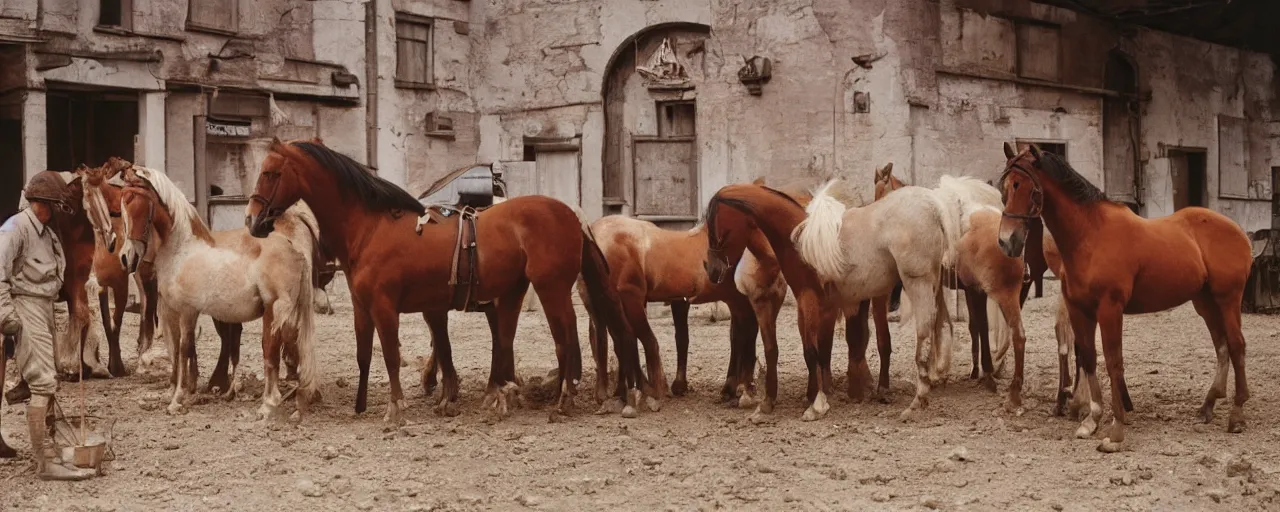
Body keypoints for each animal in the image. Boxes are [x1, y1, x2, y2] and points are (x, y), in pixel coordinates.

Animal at [118, 163, 322, 419]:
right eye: (121, 205)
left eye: (137, 202)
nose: (126, 258)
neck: (182, 251)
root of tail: (294, 249)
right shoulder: (170, 311)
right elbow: (174, 351)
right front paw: (173, 393)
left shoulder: (188, 311)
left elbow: (185, 349)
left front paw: (178, 400)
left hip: (274, 311)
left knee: (272, 352)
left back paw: (268, 405)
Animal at [243, 138, 645, 422]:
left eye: (271, 173)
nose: (252, 220)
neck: (370, 227)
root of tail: (572, 214)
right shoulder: (363, 306)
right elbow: (364, 355)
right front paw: (360, 405)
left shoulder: (386, 306)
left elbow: (392, 355)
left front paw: (397, 409)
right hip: (515, 291)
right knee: (515, 339)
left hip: (551, 287)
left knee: (566, 336)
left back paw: (563, 400)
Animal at [583, 199, 788, 412]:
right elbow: (626, 342)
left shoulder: (631, 298)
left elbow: (644, 340)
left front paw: (653, 392)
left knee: (743, 334)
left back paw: (739, 388)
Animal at [788, 176, 988, 419]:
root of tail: (934, 205)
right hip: (932, 286)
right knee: (940, 326)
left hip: (918, 283)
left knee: (924, 331)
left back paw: (918, 399)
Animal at [993, 142, 1254, 450]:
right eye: (1005, 188)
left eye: (1025, 187)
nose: (1007, 242)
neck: (1090, 235)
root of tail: (1239, 232)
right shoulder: (1079, 309)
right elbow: (1089, 357)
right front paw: (1091, 419)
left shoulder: (1110, 309)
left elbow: (1113, 361)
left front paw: (1116, 430)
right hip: (1205, 302)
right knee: (1222, 346)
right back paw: (1208, 406)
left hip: (1228, 299)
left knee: (1236, 346)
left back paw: (1237, 415)